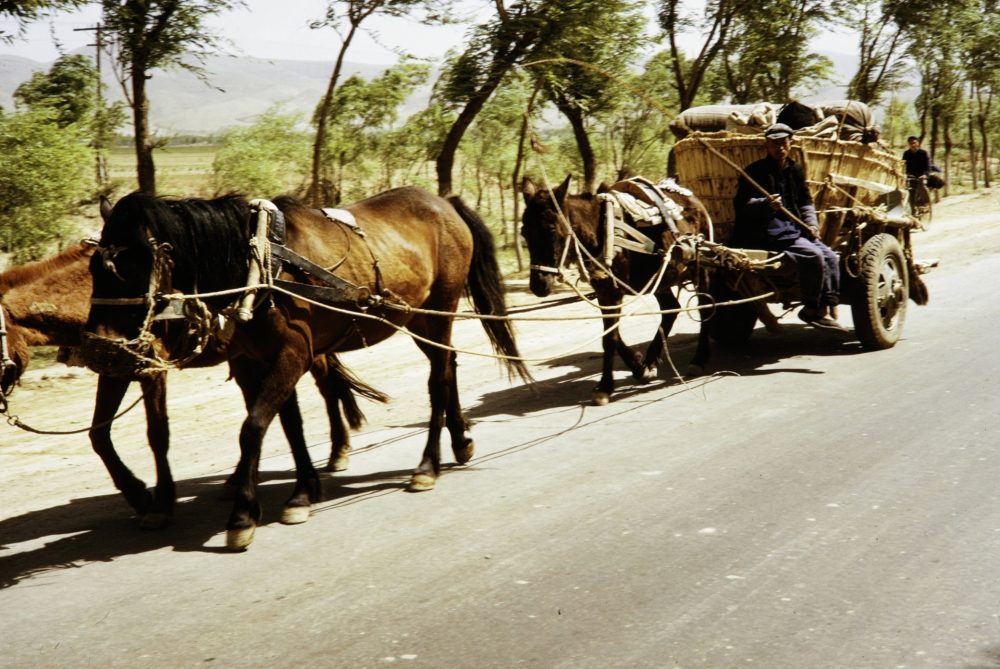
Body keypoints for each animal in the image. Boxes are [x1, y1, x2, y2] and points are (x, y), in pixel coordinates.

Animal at [0, 240, 384, 528]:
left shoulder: (150, 370)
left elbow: (157, 434)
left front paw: (159, 502)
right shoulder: (114, 370)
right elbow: (99, 436)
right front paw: (138, 494)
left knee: (327, 387)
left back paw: (337, 452)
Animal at [84, 188, 532, 548]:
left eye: (133, 265)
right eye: (91, 269)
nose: (101, 346)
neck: (260, 265)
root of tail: (445, 202)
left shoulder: (292, 353)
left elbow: (253, 428)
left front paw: (243, 515)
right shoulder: (254, 361)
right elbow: (287, 425)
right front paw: (304, 491)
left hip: (439, 308)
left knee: (438, 380)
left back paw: (427, 467)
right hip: (418, 318)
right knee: (448, 365)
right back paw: (460, 441)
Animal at [520, 175, 716, 402]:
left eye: (551, 229)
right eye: (524, 232)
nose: (538, 285)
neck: (601, 231)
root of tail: (694, 199)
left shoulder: (613, 293)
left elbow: (609, 338)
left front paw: (605, 386)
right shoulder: (604, 291)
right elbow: (611, 335)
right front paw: (639, 367)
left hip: (701, 268)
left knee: (704, 307)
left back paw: (699, 359)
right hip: (663, 276)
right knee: (671, 309)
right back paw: (651, 358)